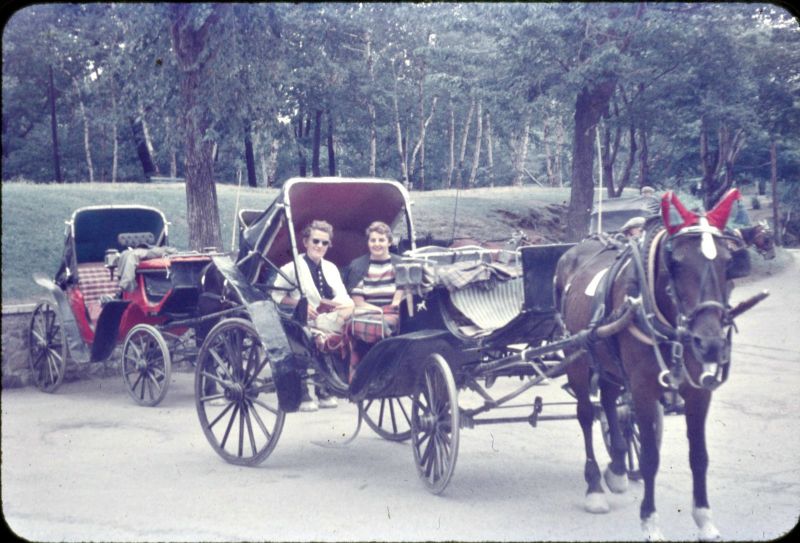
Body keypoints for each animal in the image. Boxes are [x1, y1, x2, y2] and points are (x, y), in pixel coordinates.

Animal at [552, 189, 740, 540]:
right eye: (676, 262)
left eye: (727, 261)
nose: (709, 344)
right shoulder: (642, 387)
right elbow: (652, 457)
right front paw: (650, 521)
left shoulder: (698, 391)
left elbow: (699, 455)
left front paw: (704, 518)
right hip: (578, 355)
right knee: (585, 415)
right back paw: (595, 486)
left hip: (606, 360)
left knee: (609, 402)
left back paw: (618, 466)